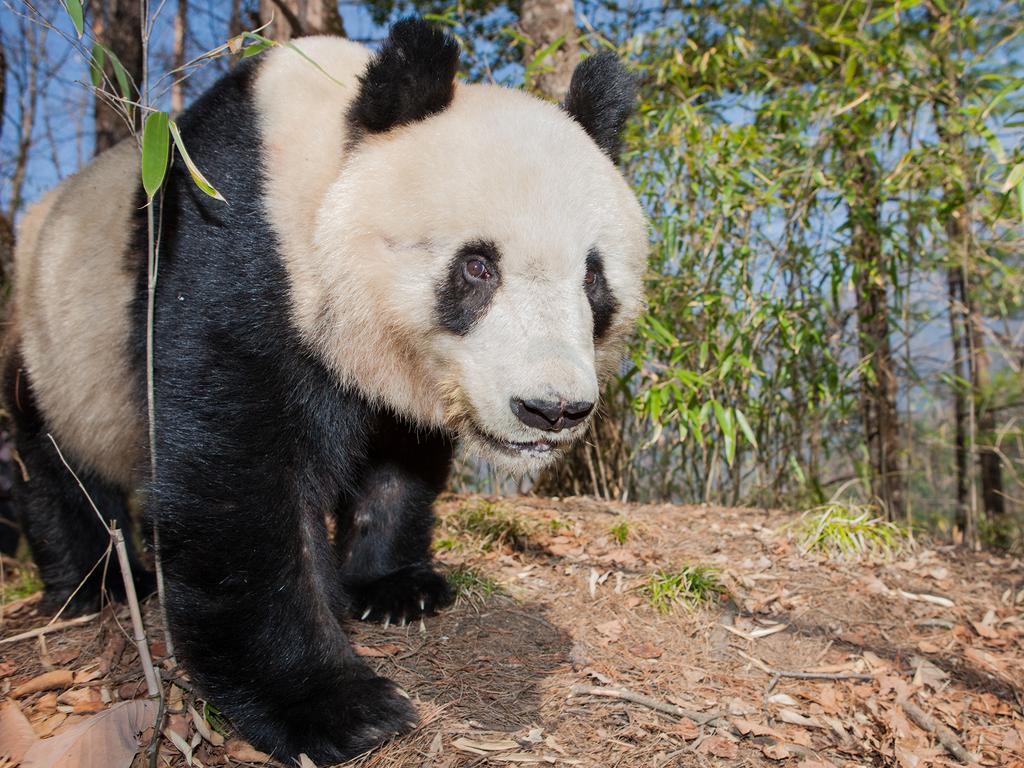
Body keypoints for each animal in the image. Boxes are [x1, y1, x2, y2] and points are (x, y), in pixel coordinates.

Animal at [6, 18, 647, 765]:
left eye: (593, 278)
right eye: (478, 266)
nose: (550, 408)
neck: (314, 180)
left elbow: (399, 456)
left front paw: (393, 588)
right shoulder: (234, 248)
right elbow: (240, 477)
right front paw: (334, 706)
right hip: (55, 341)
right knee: (55, 465)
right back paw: (99, 583)